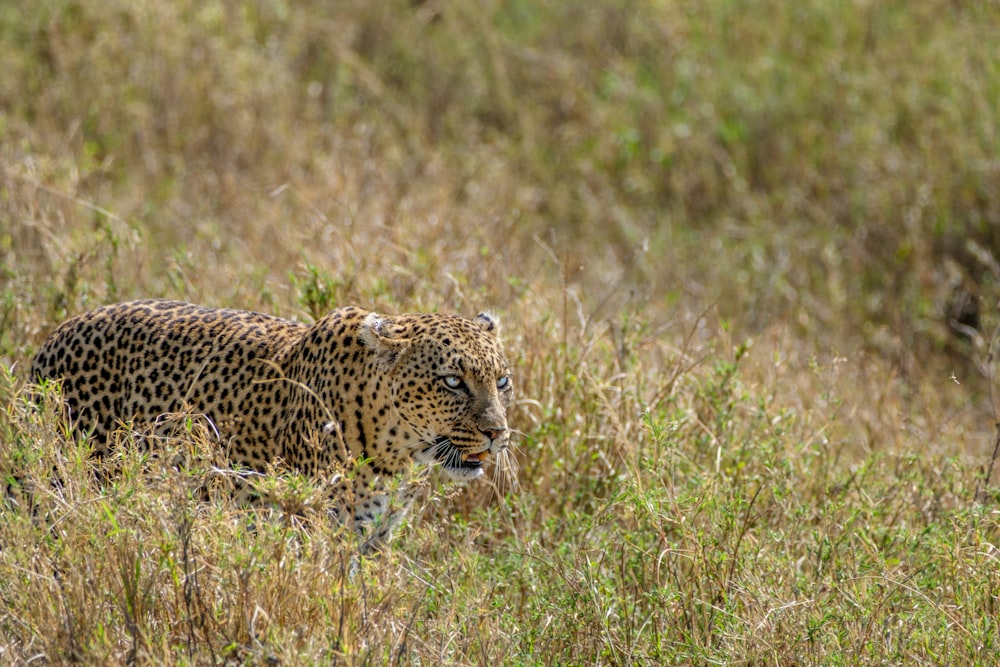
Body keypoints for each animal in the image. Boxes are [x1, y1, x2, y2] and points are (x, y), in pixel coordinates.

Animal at [29, 300, 516, 552]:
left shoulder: (371, 541)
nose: (497, 435)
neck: (394, 454)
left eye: (502, 381)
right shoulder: (312, 532)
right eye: (452, 382)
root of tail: (55, 336)